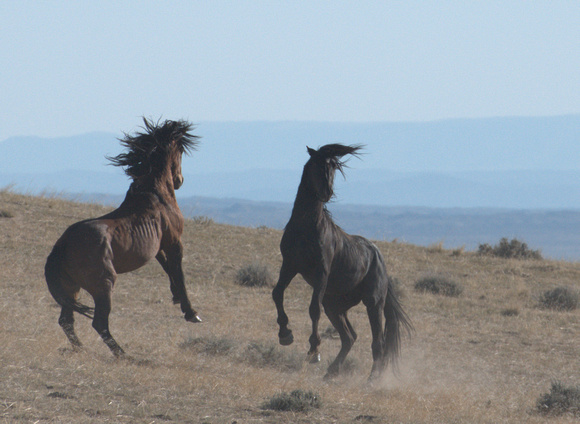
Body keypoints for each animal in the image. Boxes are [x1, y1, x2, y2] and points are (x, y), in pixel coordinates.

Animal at [44, 117, 202, 356]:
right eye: (181, 150)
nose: (179, 180)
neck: (155, 195)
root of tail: (61, 247)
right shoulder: (175, 242)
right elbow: (179, 273)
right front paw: (191, 313)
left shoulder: (158, 247)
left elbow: (167, 268)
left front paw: (175, 297)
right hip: (104, 286)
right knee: (98, 323)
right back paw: (122, 354)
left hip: (71, 289)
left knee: (66, 320)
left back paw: (83, 350)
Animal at [272, 144, 412, 380]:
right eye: (315, 164)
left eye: (334, 167)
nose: (327, 193)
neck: (306, 227)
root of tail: (379, 258)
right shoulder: (289, 265)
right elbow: (277, 293)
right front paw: (285, 334)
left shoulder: (321, 272)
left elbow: (313, 309)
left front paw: (314, 351)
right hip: (335, 305)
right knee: (350, 337)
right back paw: (331, 372)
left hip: (373, 303)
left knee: (378, 342)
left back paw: (371, 380)